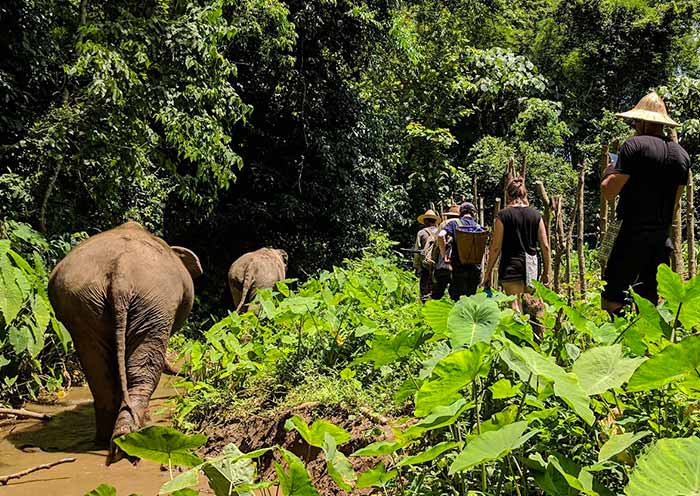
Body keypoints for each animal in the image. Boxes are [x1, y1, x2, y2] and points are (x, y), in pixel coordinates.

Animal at [48, 221, 202, 463]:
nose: (191, 377)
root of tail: (121, 276)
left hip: (83, 305)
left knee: (98, 371)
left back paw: (111, 440)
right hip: (155, 302)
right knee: (144, 366)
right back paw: (133, 436)